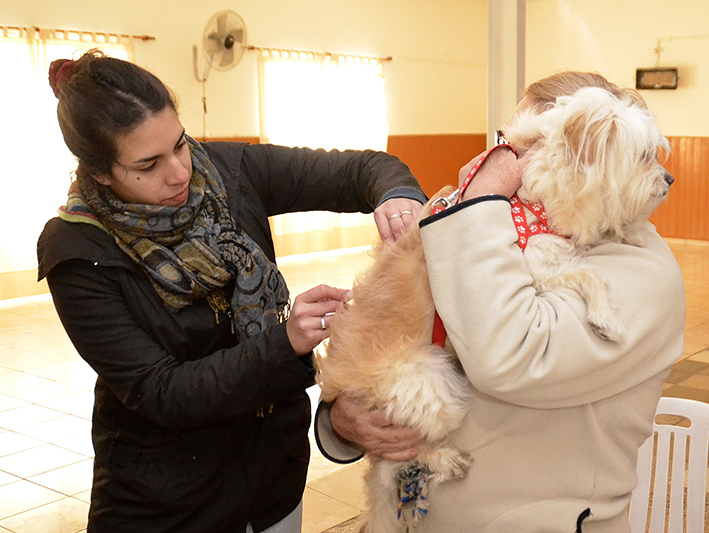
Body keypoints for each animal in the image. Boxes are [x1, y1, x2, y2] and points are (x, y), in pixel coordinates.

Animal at [312, 85, 672, 528]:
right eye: (644, 155)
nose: (670, 179)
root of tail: (341, 386)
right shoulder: (537, 269)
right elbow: (588, 274)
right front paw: (607, 318)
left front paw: (634, 233)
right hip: (430, 383)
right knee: (398, 458)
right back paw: (445, 460)